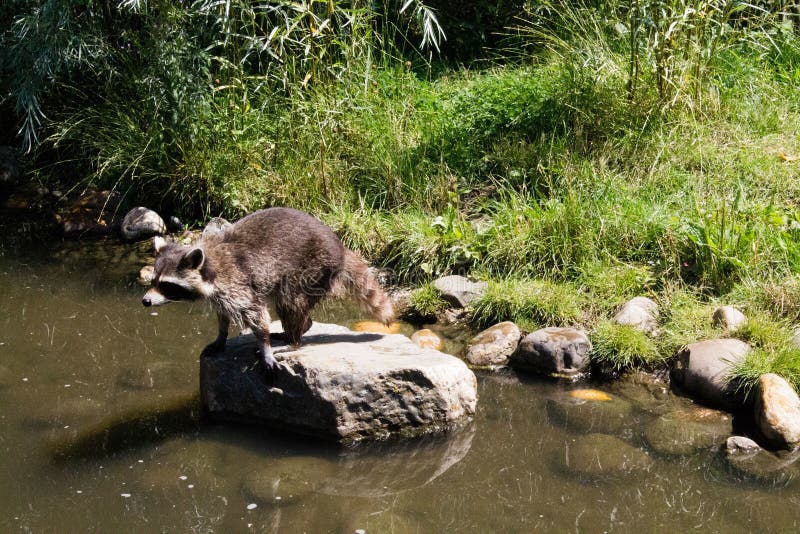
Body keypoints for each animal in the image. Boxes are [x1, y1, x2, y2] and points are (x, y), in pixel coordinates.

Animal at [141, 207, 394, 373]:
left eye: (166, 285)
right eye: (153, 281)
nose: (145, 301)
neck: (209, 265)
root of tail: (340, 248)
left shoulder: (237, 283)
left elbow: (258, 315)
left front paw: (265, 348)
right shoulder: (220, 294)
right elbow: (223, 316)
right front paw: (221, 335)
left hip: (311, 268)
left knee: (291, 301)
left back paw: (293, 340)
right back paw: (296, 331)